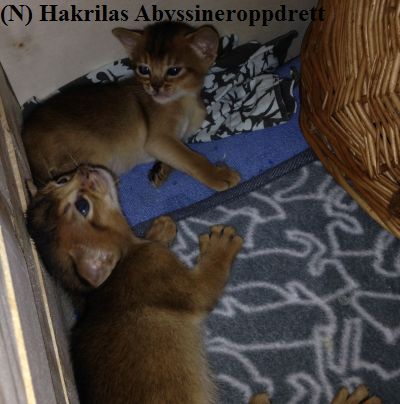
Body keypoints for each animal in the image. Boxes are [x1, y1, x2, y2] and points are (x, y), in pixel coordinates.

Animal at [22, 21, 240, 191]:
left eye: (173, 71)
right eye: (144, 69)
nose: (155, 87)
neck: (184, 102)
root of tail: (26, 137)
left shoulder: (175, 139)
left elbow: (178, 153)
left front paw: (160, 170)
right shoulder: (158, 139)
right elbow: (190, 158)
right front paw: (217, 175)